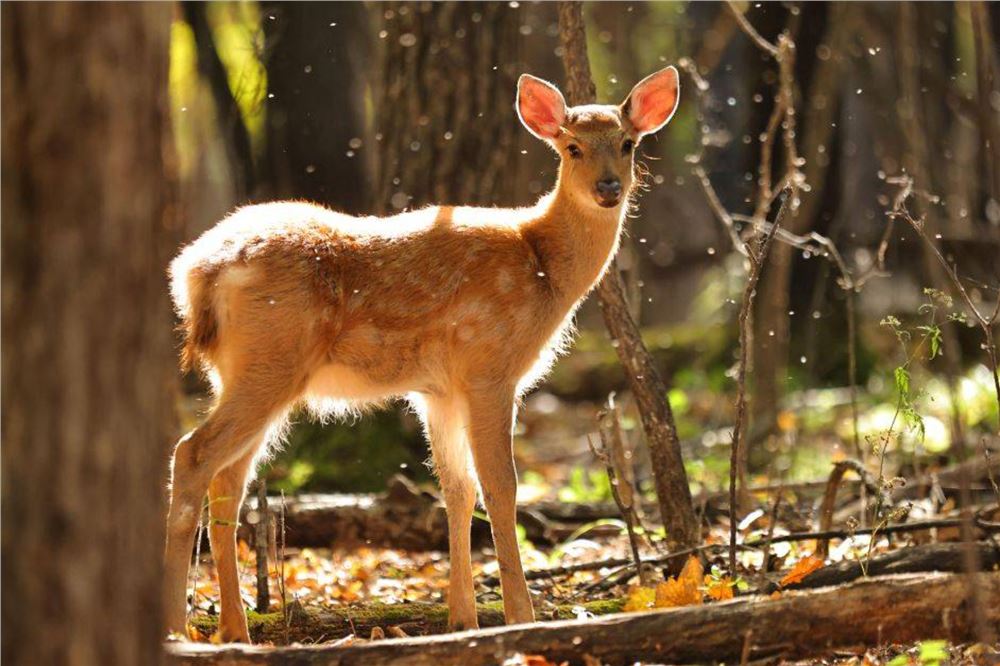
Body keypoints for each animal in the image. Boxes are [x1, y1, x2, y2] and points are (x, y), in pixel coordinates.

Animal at [164, 66, 680, 643]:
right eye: (572, 147)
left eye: (628, 143)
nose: (609, 187)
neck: (542, 265)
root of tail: (196, 273)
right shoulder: (489, 367)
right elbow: (502, 487)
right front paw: (518, 616)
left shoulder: (438, 390)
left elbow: (457, 489)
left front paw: (463, 619)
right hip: (271, 360)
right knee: (193, 453)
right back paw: (180, 628)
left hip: (244, 371)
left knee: (229, 480)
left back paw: (235, 630)